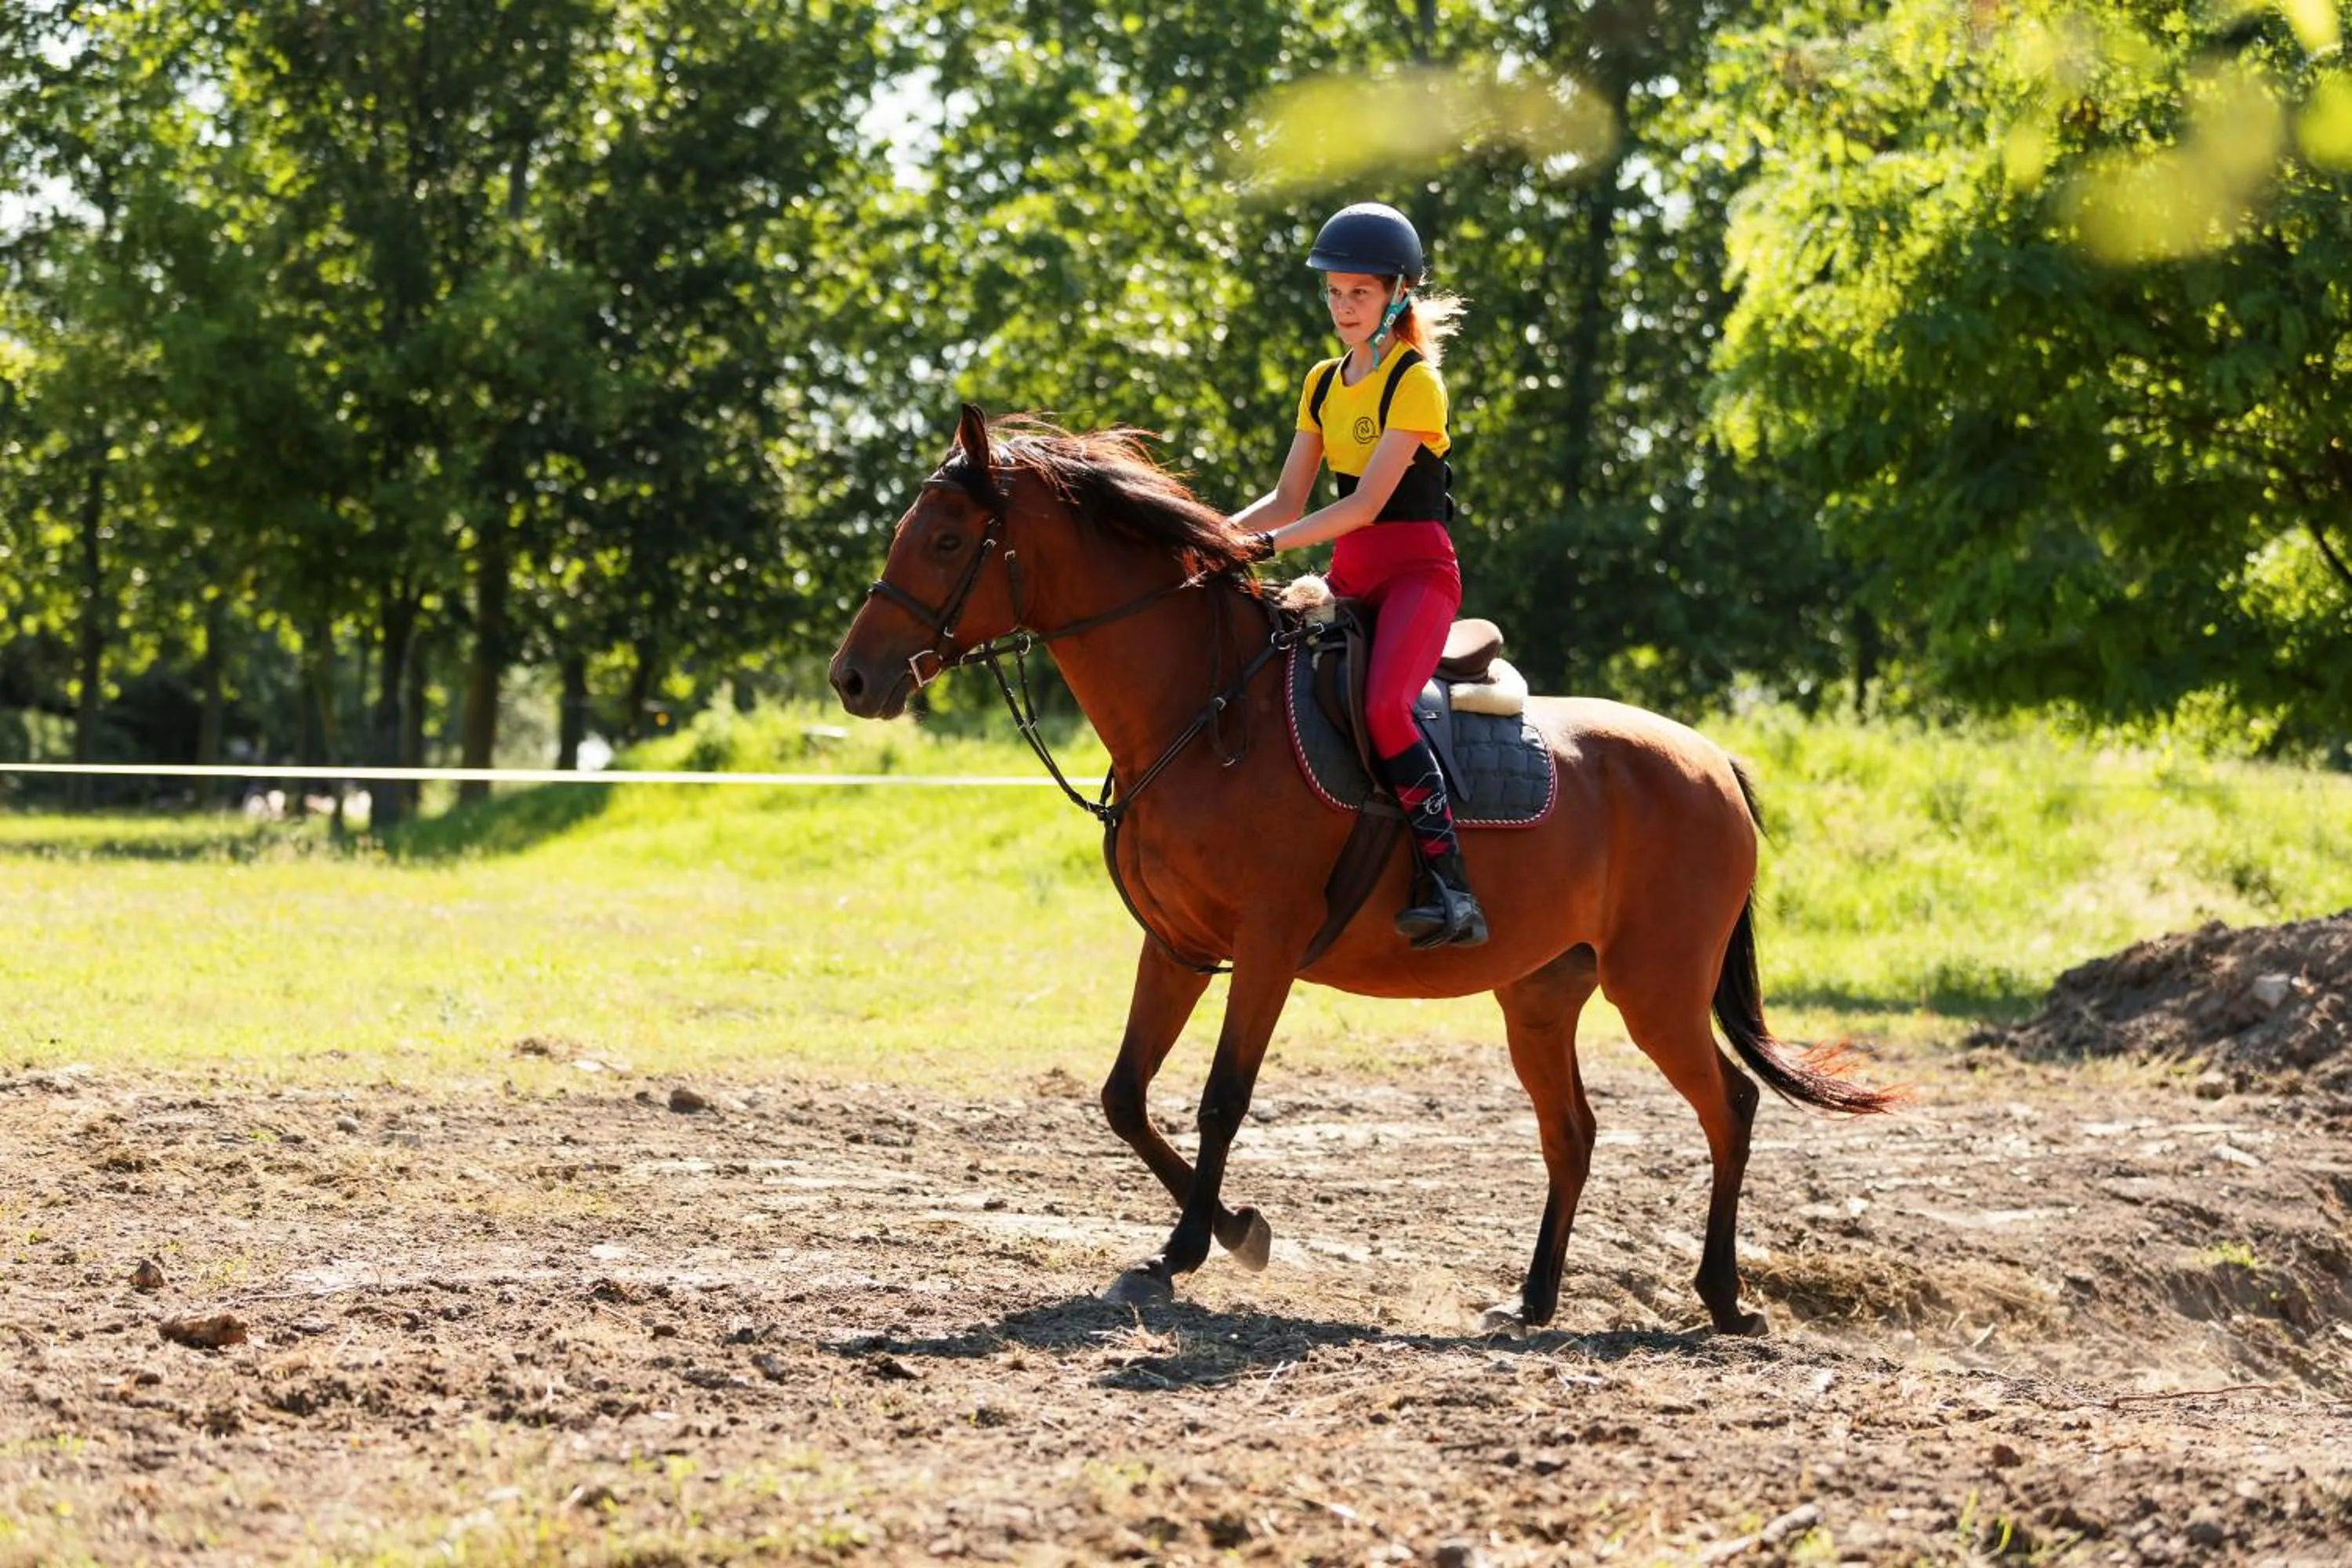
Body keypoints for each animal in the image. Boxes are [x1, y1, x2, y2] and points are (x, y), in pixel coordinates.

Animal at [828, 403, 1897, 1336]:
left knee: (1731, 1106)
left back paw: (1721, 1296)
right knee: (1574, 1132)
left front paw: (1193, 1246)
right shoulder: (1176, 945)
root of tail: (1714, 761)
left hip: (1658, 988)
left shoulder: (1265, 945)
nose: (851, 678)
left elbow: (1221, 1098)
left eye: (946, 542)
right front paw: (1221, 1232)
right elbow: (1126, 1094)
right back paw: (1532, 1301)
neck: (1205, 711)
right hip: (1542, 994)